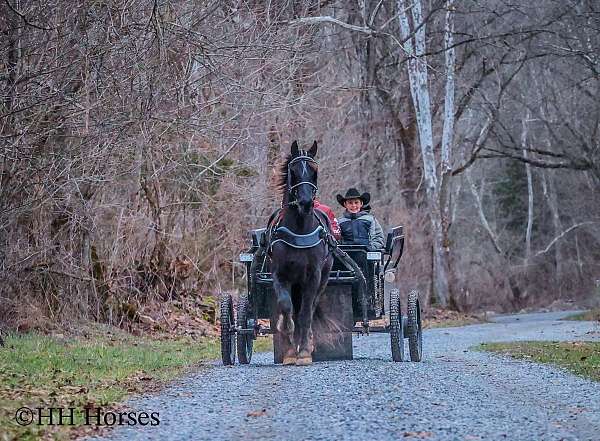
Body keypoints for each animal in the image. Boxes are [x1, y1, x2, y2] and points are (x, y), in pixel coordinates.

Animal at [270, 140, 336, 364]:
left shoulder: (313, 276)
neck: (299, 229)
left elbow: (306, 313)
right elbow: (285, 307)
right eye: (293, 171)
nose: (306, 203)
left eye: (315, 171)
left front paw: (305, 351)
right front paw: (290, 349)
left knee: (312, 306)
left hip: (323, 277)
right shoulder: (280, 274)